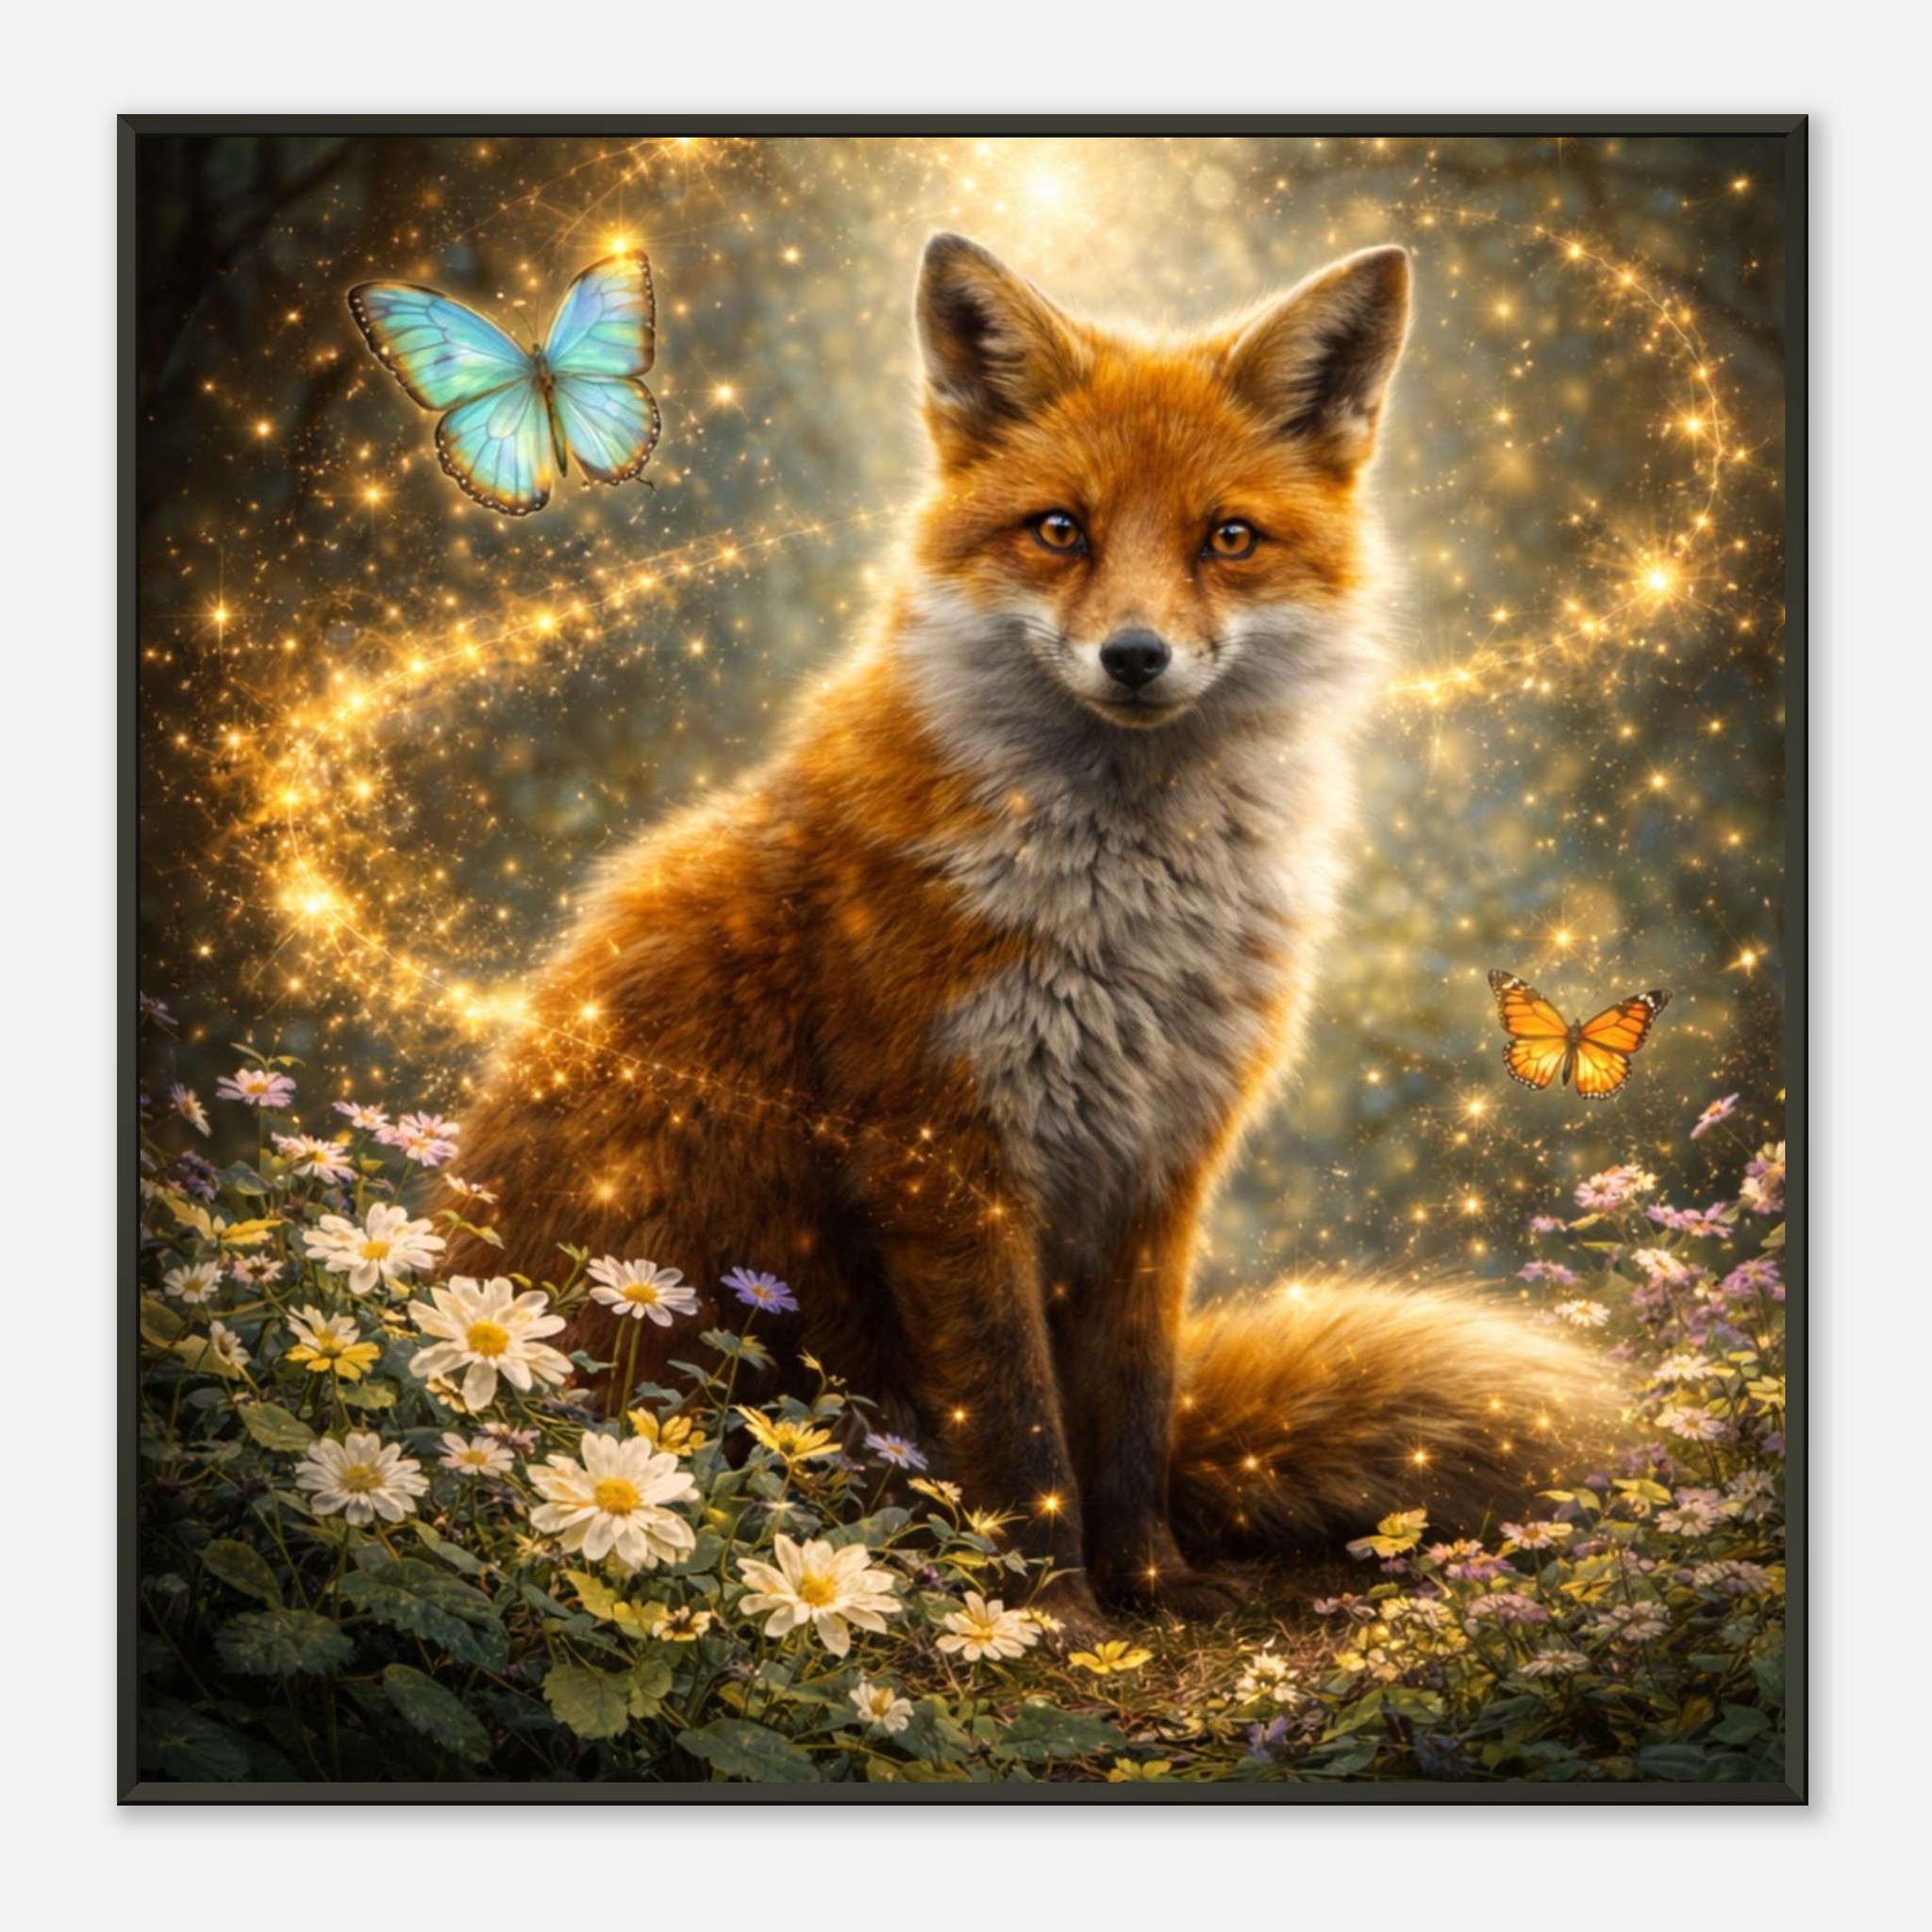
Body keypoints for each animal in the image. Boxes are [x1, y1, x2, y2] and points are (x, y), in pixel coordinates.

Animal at [443, 234, 1612, 1638]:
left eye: (1228, 538)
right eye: (1062, 530)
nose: (1136, 655)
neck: (1132, 920)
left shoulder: (1162, 1159)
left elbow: (1131, 1415)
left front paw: (1152, 1583)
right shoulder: (942, 1155)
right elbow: (1018, 1430)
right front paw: (1048, 1616)